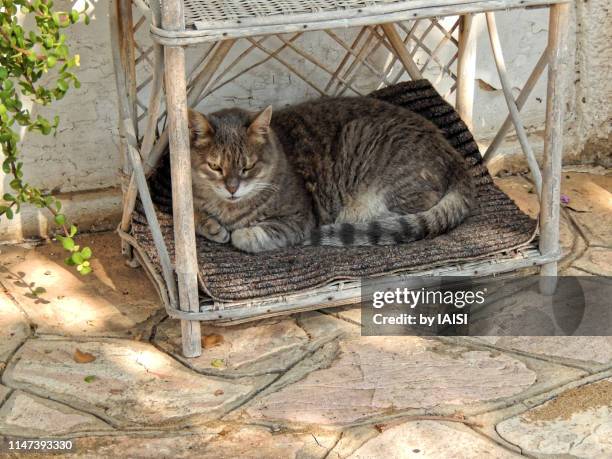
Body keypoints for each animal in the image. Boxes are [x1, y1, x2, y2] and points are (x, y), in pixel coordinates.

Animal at [189, 97, 476, 253]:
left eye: (247, 167)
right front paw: (211, 226)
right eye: (215, 167)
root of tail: (454, 155)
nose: (232, 188)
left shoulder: (297, 219)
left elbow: (250, 235)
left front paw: (237, 233)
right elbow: (194, 215)